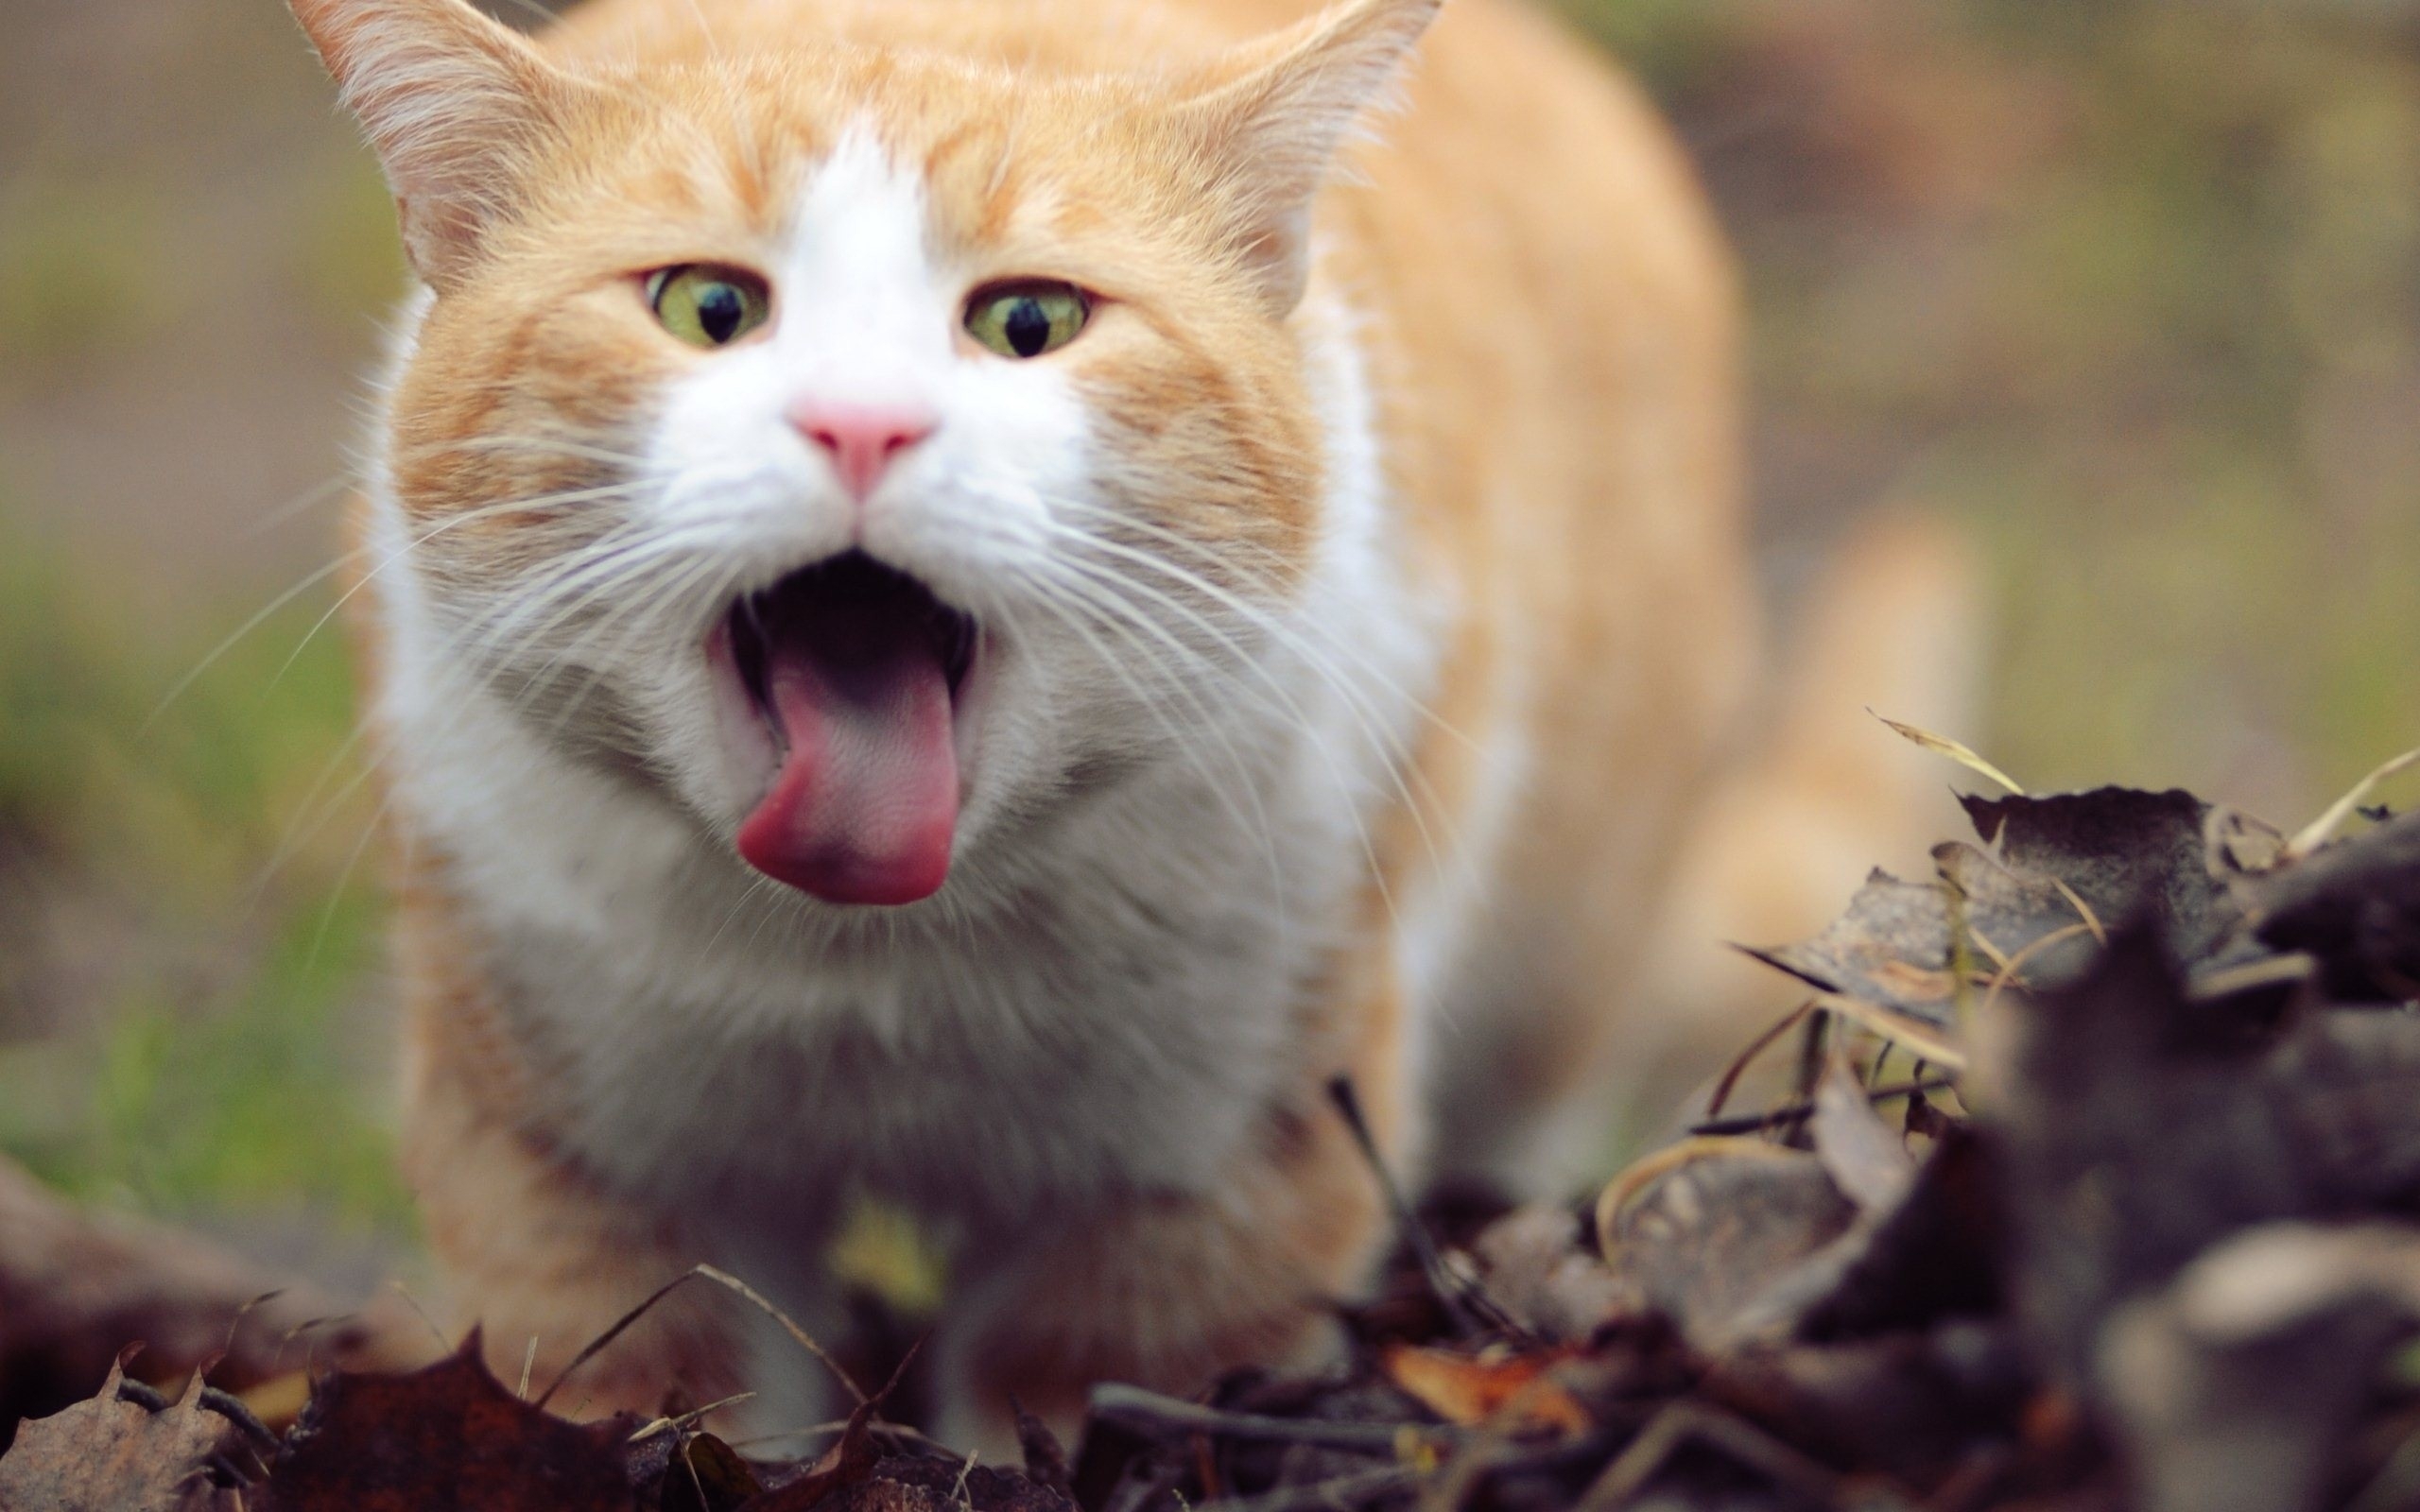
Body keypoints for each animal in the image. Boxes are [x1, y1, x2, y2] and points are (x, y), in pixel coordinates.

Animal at [292, 0, 1974, 1452]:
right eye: (708, 308)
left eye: (1028, 321)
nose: (862, 425)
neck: (866, 971)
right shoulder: (567, 1159)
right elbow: (672, 1392)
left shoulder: (1219, 1155)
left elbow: (1064, 1385)